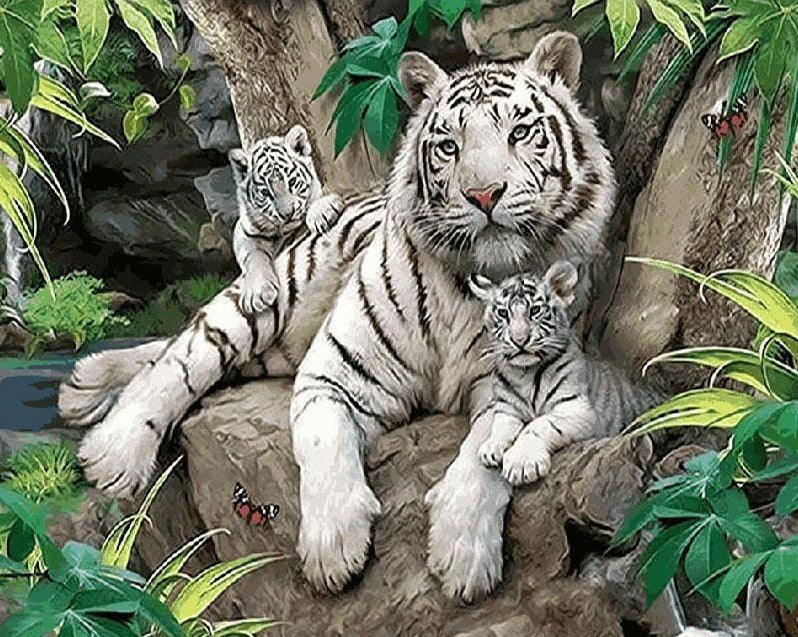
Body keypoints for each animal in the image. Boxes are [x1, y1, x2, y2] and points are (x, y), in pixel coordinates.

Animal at [229, 124, 343, 314]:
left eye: (291, 182)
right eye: (266, 192)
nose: (287, 213)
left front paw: (322, 213)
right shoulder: (244, 230)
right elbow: (253, 255)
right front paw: (258, 292)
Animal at [469, 261, 660, 485]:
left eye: (535, 310)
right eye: (503, 313)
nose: (519, 340)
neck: (525, 374)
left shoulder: (577, 409)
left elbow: (538, 425)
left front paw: (521, 463)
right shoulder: (508, 407)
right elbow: (501, 425)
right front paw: (491, 447)